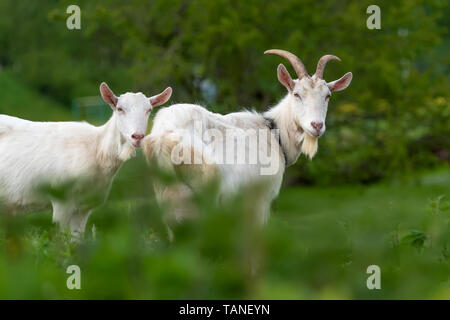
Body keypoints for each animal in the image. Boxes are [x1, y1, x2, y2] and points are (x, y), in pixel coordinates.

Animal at [0, 82, 172, 236]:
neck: (97, 150)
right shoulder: (61, 200)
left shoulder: (84, 207)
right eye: (120, 109)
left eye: (149, 110)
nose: (137, 136)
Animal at [144, 49, 352, 228]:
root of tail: (164, 138)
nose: (316, 125)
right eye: (297, 94)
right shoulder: (259, 200)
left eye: (328, 96)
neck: (274, 132)